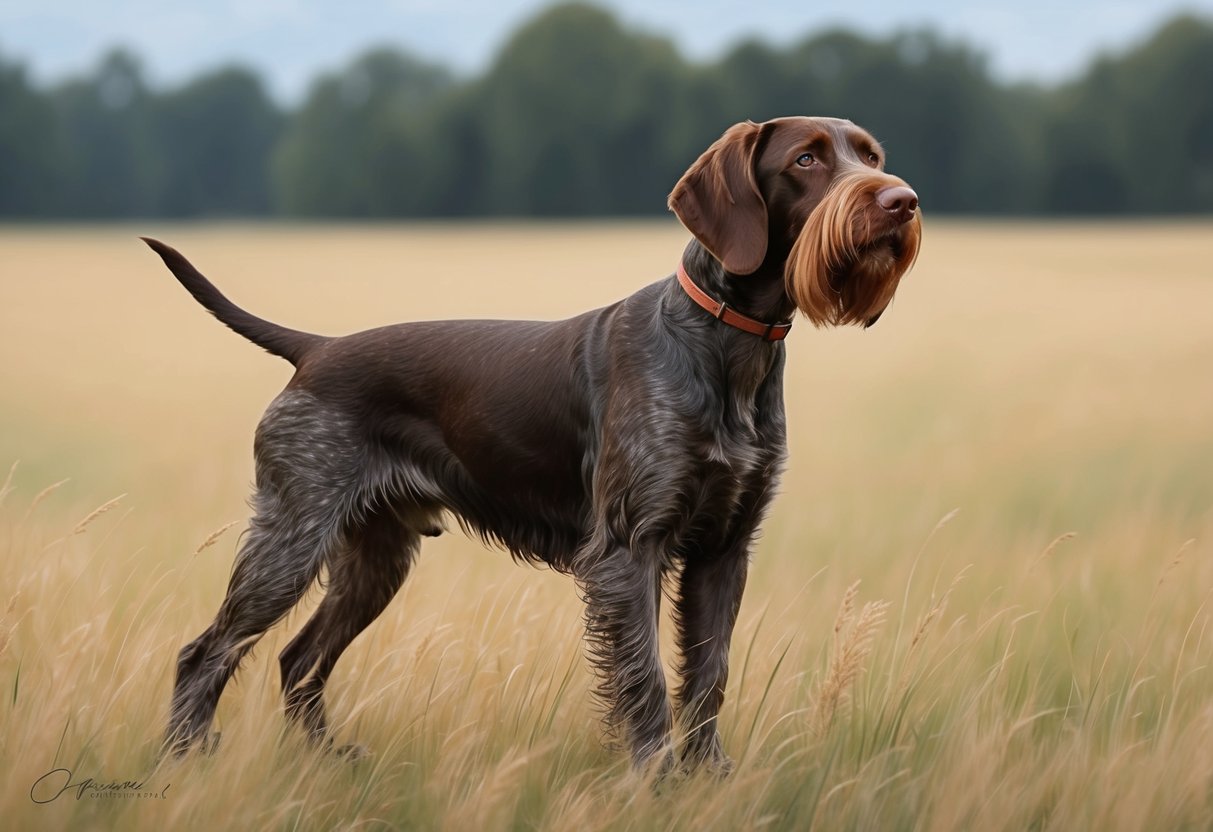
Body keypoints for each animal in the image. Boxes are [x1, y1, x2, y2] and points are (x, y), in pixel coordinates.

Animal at [144, 115, 917, 776]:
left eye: (871, 154)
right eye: (806, 160)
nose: (902, 202)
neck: (730, 349)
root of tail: (317, 349)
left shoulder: (724, 547)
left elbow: (709, 674)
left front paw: (710, 779)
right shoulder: (627, 547)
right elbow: (645, 676)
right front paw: (656, 782)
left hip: (375, 556)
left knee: (297, 658)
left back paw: (327, 761)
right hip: (292, 537)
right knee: (205, 651)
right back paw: (183, 764)